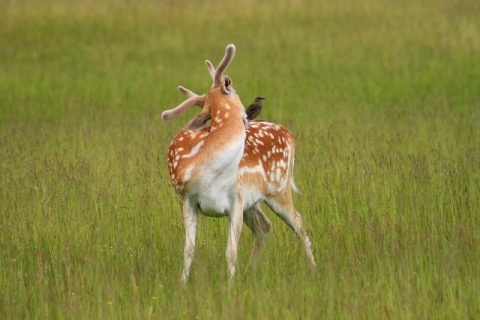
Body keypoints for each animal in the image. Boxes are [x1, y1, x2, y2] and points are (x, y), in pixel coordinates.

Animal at [163, 43, 316, 282]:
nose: (247, 115)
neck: (207, 169)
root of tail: (289, 134)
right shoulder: (189, 199)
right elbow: (188, 249)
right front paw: (183, 283)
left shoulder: (237, 198)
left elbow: (231, 250)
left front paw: (230, 284)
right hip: (254, 202)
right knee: (265, 226)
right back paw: (250, 270)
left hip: (278, 189)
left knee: (298, 221)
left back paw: (313, 270)